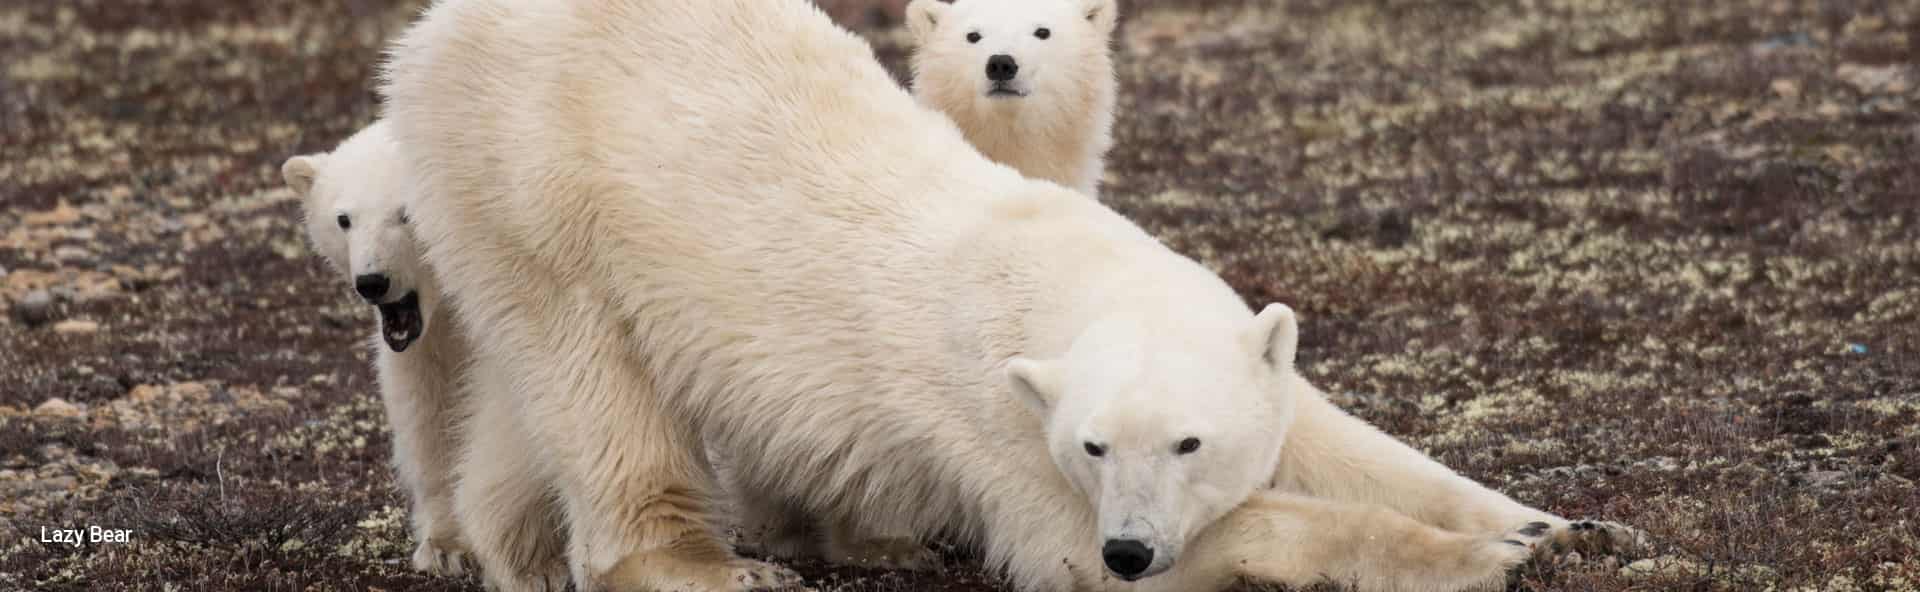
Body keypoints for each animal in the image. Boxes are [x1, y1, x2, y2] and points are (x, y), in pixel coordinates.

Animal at [283, 122, 569, 592]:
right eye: (343, 219)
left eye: (406, 215)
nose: (373, 281)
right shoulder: (428, 338)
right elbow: (431, 410)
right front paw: (445, 547)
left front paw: (535, 564)